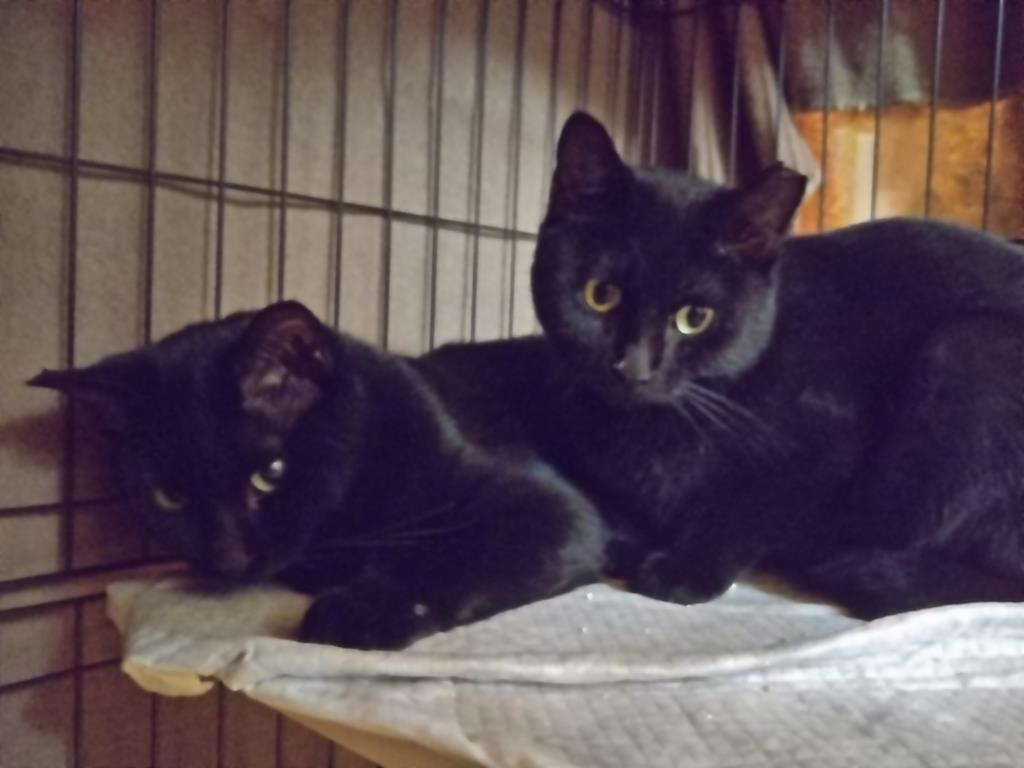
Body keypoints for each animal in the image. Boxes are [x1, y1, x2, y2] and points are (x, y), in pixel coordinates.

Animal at [29, 301, 609, 649]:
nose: (228, 560)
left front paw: (361, 610)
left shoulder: (548, 504)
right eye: (170, 496)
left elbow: (457, 553)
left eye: (271, 473)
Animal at [525, 111, 1024, 619]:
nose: (633, 367)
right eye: (600, 295)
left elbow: (751, 508)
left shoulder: (829, 448)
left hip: (968, 345)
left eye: (694, 318)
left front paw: (684, 568)